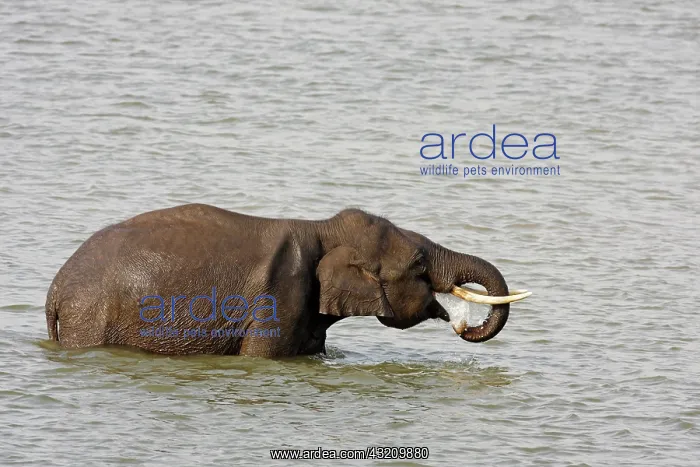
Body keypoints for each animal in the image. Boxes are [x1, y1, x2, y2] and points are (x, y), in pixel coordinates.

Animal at [45, 204, 530, 357]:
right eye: (418, 263)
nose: (462, 326)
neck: (323, 229)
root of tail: (55, 289)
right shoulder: (279, 296)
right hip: (93, 318)